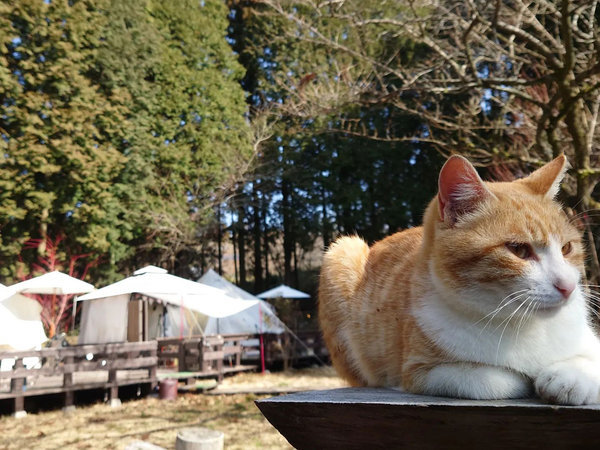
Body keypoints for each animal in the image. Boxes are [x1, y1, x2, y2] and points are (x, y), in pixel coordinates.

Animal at [322, 155, 600, 404]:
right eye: (518, 250)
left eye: (566, 248)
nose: (567, 286)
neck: (524, 324)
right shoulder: (421, 372)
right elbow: (492, 380)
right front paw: (524, 378)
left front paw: (570, 378)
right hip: (343, 250)